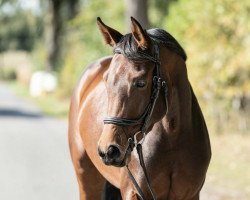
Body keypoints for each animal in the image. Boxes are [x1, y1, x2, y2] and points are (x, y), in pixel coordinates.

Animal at [68, 17, 211, 200]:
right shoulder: (133, 192)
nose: (108, 150)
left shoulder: (191, 195)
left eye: (141, 83)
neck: (173, 136)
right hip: (86, 176)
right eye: (106, 79)